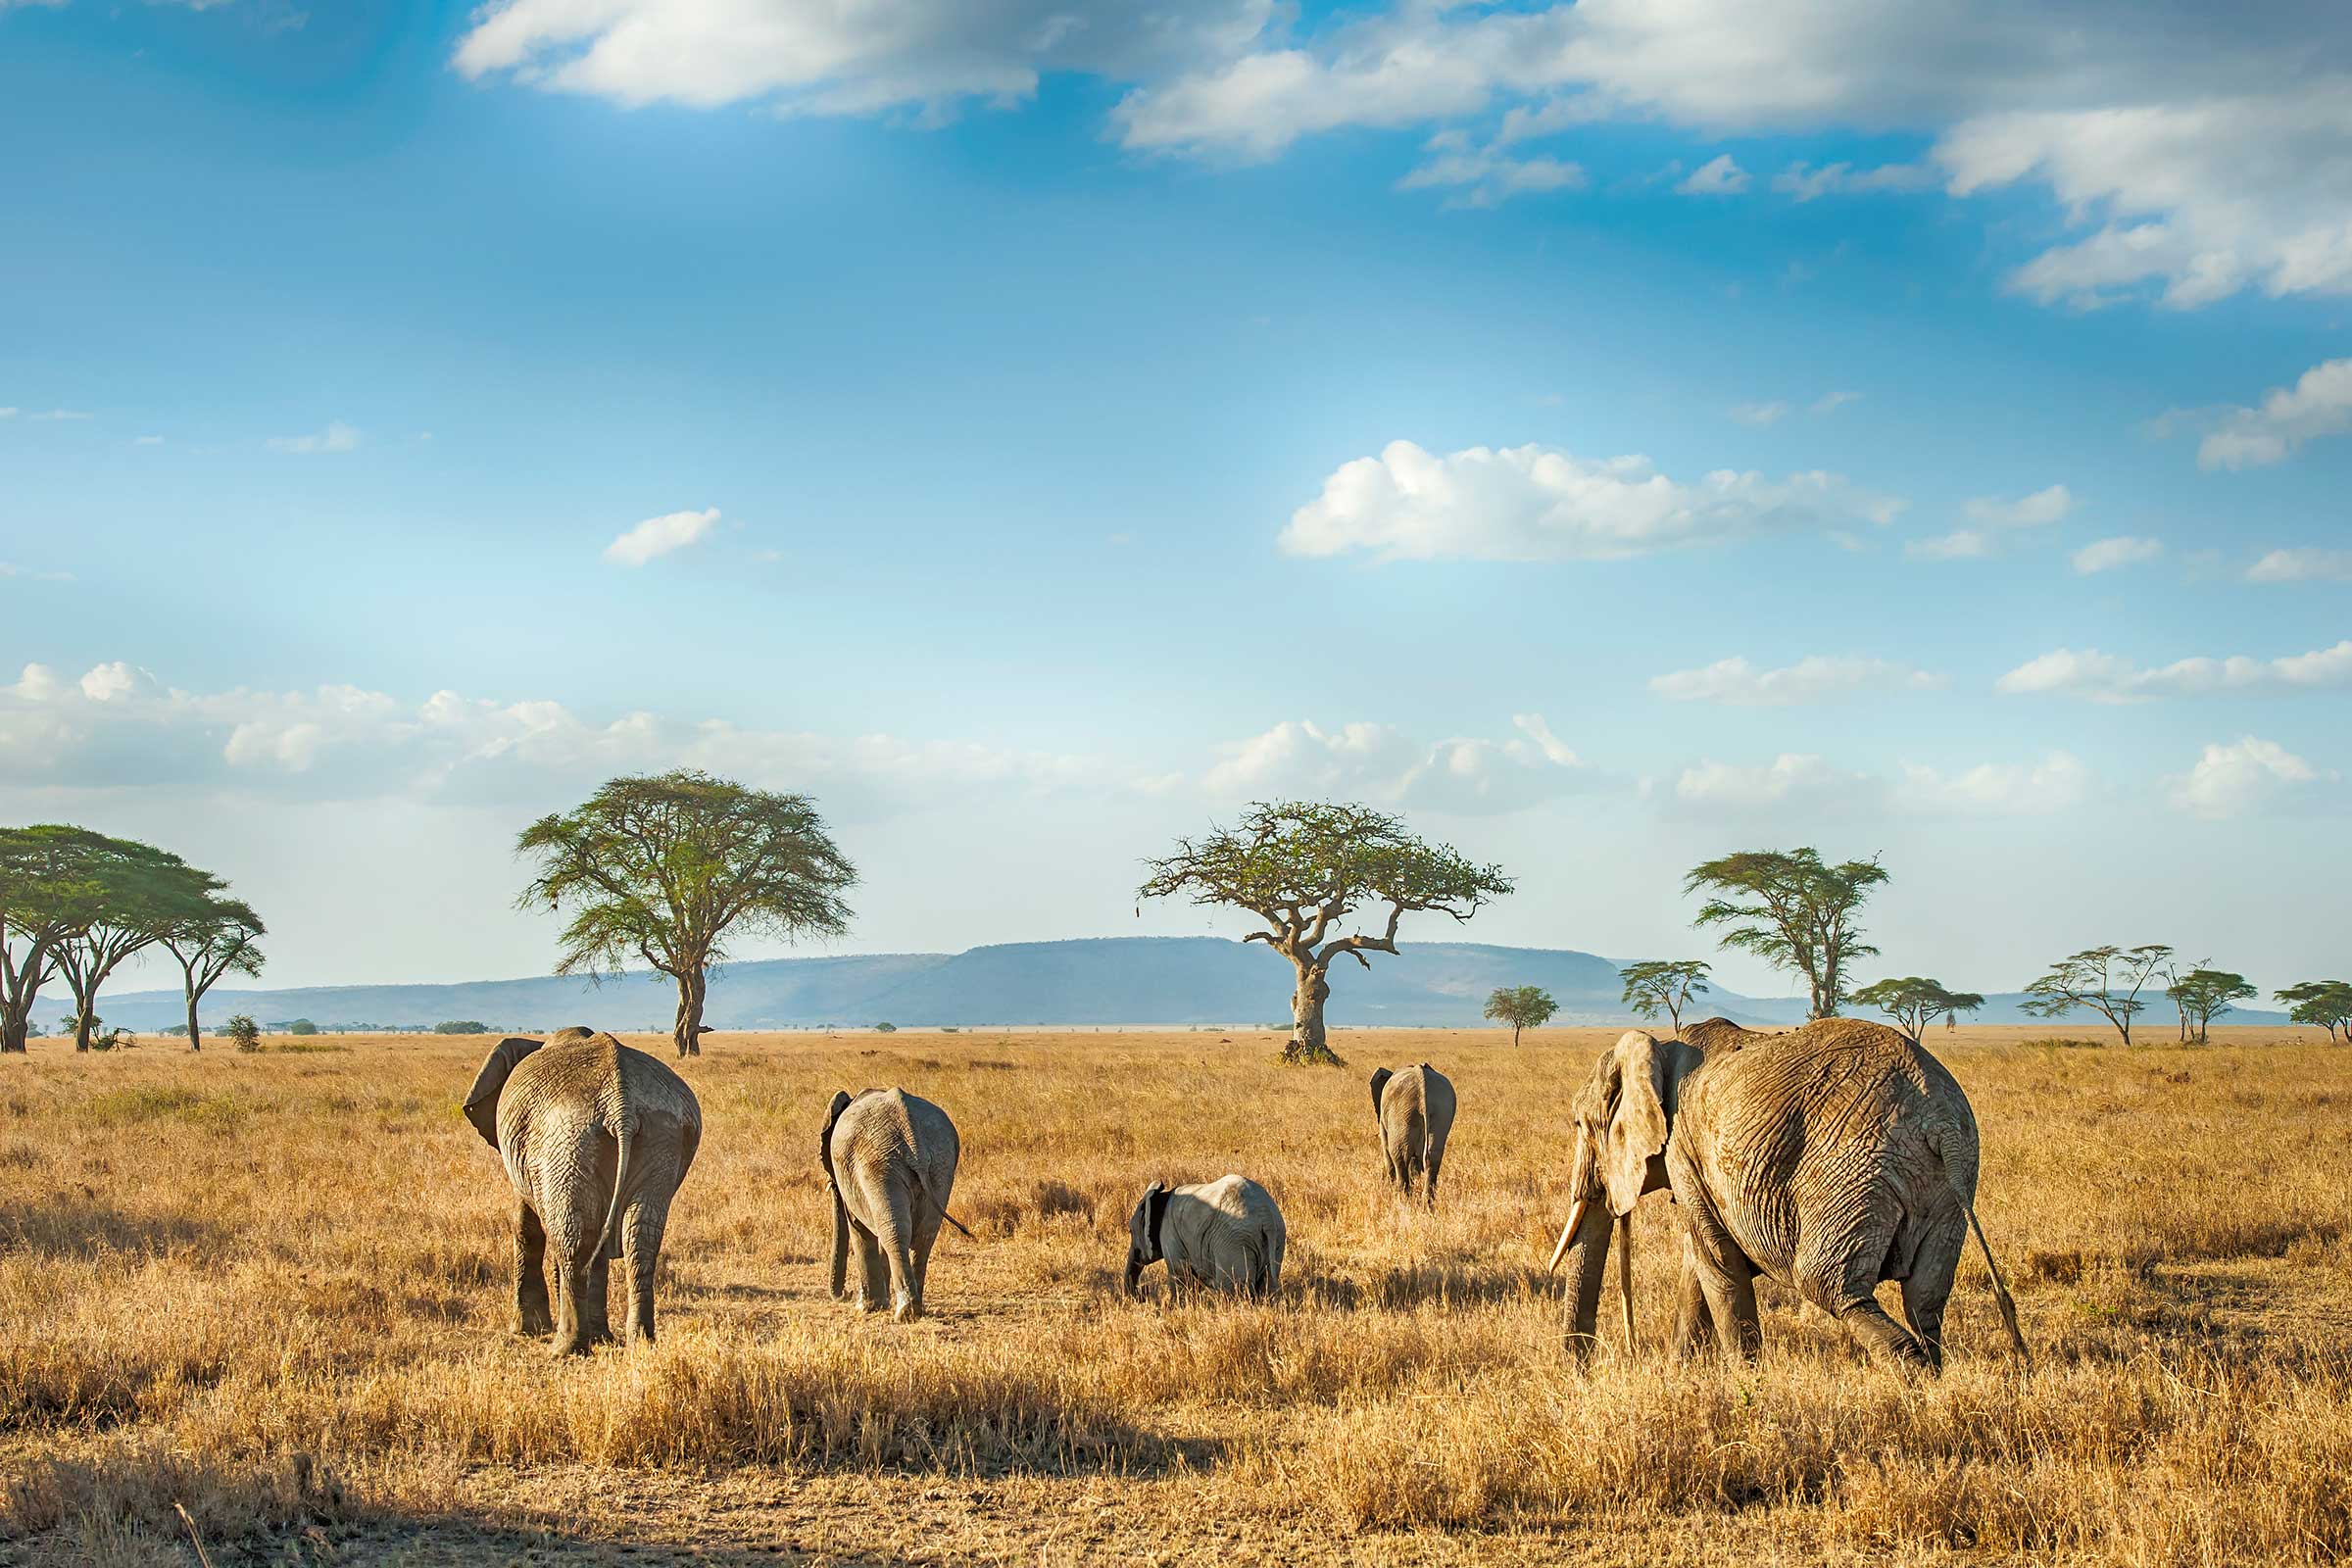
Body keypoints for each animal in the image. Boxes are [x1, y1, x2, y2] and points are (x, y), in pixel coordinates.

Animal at [463, 1024, 701, 1353]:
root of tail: (621, 1105)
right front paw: (602, 1338)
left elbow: (527, 1226)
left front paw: (526, 1331)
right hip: (662, 1132)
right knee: (640, 1236)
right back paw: (640, 1342)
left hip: (568, 1138)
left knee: (573, 1237)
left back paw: (566, 1348)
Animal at [813, 1091, 950, 1325]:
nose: (846, 1294)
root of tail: (914, 1141)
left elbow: (858, 1228)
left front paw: (866, 1308)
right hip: (940, 1165)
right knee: (923, 1236)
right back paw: (915, 1309)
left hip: (880, 1164)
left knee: (894, 1233)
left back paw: (905, 1313)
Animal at [1119, 1175, 1289, 1298]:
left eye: (1130, 1231)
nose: (1143, 1293)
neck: (1161, 1196)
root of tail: (1265, 1215)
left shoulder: (1170, 1233)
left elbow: (1180, 1272)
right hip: (1277, 1238)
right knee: (1267, 1283)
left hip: (1234, 1242)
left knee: (1234, 1287)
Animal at [1364, 1062, 1448, 1212]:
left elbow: (1386, 1149)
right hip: (1440, 1112)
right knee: (1433, 1158)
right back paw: (1427, 1206)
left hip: (1401, 1115)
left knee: (1399, 1156)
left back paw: (1403, 1201)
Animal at [1543, 1020, 2023, 1372]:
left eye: (1580, 1124)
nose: (1580, 1370)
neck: (1658, 1045)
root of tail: (1940, 1122)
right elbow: (1700, 1261)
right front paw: (1681, 1375)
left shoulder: (1684, 1148)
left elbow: (1717, 1261)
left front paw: (1746, 1380)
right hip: (1949, 1186)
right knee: (1925, 1297)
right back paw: (1935, 1376)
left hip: (1855, 1169)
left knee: (1829, 1283)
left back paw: (1914, 1378)